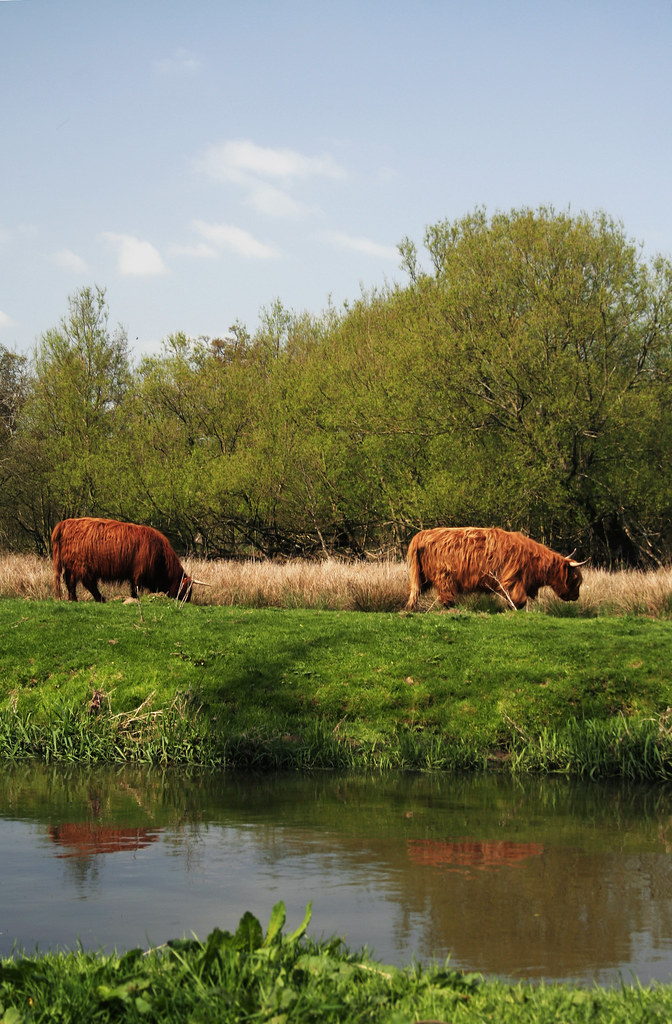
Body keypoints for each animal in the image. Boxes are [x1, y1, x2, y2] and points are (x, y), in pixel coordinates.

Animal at [52, 517, 194, 603]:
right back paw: (101, 599)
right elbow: (135, 588)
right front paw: (135, 599)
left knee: (71, 582)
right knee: (88, 583)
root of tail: (66, 522)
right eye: (186, 590)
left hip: (73, 565)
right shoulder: (139, 572)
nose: (187, 601)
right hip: (83, 565)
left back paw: (73, 599)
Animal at [405, 526, 585, 611]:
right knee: (445, 595)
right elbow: (519, 599)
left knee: (415, 591)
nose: (576, 596)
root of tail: (421, 534)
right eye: (575, 579)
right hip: (445, 575)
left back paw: (409, 609)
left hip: (420, 576)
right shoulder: (513, 579)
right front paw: (512, 608)